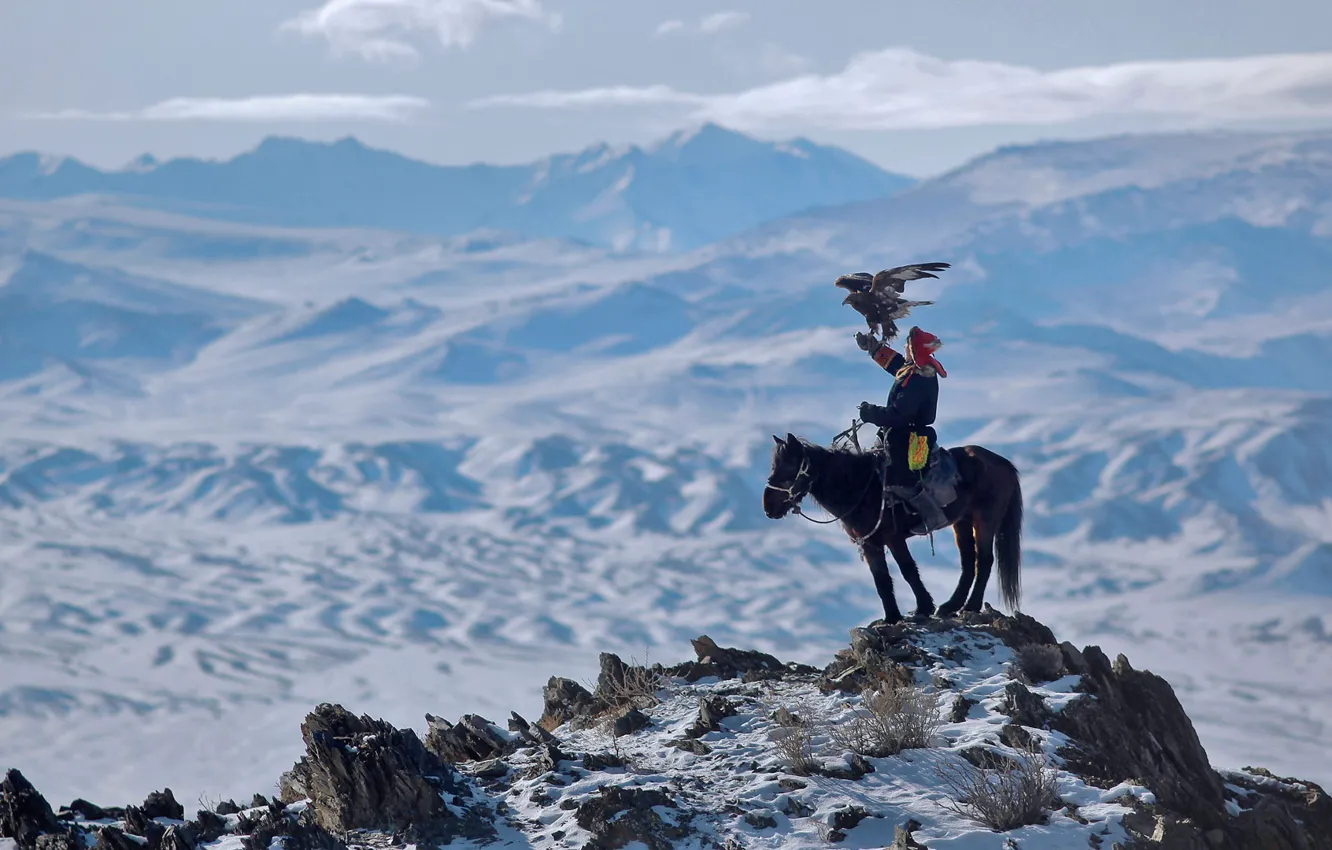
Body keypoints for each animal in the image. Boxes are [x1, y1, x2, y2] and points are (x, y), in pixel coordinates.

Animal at [767, 431, 1022, 626]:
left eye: (786, 469)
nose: (768, 507)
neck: (859, 486)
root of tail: (1003, 463)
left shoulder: (891, 537)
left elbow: (903, 572)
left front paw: (916, 609)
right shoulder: (871, 542)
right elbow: (886, 577)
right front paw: (899, 615)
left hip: (985, 519)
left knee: (984, 560)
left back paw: (971, 606)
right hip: (962, 521)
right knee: (968, 562)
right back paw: (950, 606)